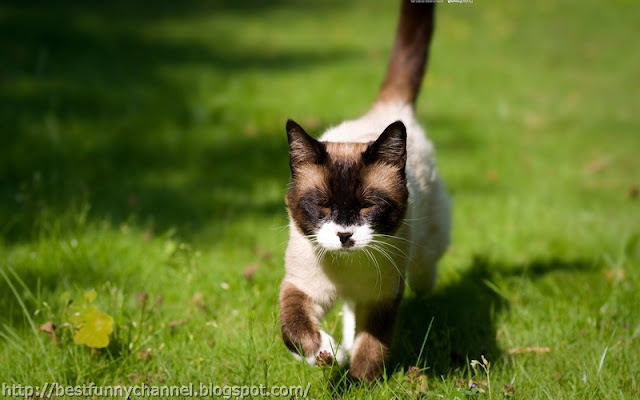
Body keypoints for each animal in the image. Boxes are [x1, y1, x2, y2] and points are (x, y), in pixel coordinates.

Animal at [278, 0, 450, 382]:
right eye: (323, 206)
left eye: (368, 207)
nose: (344, 235)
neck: (347, 268)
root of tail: (389, 110)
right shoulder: (301, 287)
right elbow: (293, 329)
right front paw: (324, 354)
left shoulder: (382, 298)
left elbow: (371, 346)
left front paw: (358, 382)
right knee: (345, 316)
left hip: (427, 248)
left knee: (425, 273)